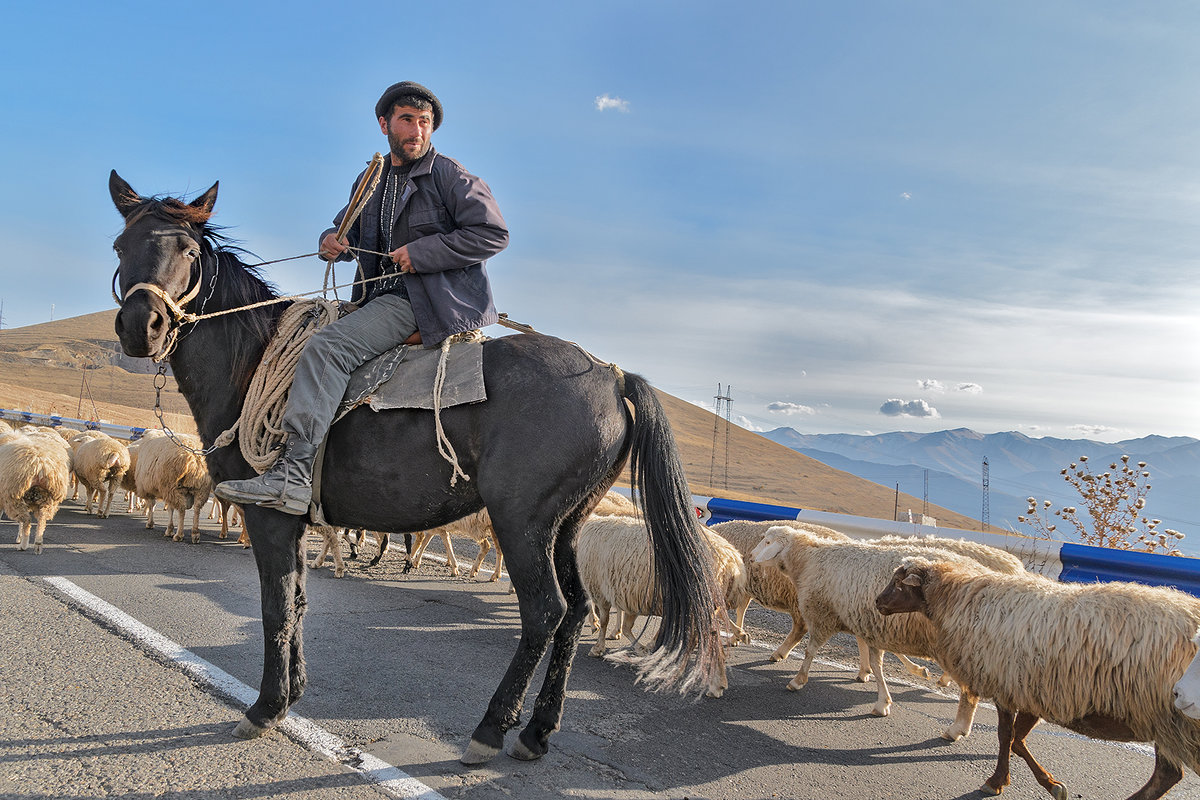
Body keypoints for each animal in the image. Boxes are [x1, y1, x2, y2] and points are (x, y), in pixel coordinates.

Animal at [108, 170, 720, 762]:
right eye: (120, 244)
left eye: (188, 249)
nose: (142, 327)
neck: (251, 360)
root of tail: (612, 377)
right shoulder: (298, 525)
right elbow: (298, 603)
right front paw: (290, 697)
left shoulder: (270, 518)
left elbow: (276, 607)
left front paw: (265, 708)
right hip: (566, 524)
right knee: (573, 612)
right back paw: (537, 731)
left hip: (522, 522)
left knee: (545, 611)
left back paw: (491, 728)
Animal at [878, 556, 1200, 800]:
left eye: (898, 583)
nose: (878, 602)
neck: (959, 598)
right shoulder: (1033, 691)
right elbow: (1017, 741)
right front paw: (1052, 785)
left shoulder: (1006, 685)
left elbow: (1006, 736)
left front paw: (995, 782)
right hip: (1167, 722)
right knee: (1168, 775)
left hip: (1172, 720)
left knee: (1167, 774)